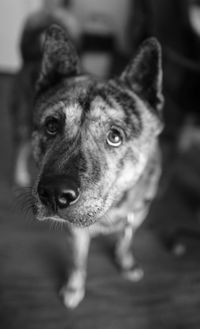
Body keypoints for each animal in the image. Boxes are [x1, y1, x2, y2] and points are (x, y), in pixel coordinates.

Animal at [30, 25, 162, 308]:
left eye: (115, 136)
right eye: (52, 125)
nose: (55, 194)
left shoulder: (137, 216)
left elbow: (124, 241)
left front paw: (126, 263)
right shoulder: (76, 233)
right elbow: (78, 262)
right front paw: (73, 288)